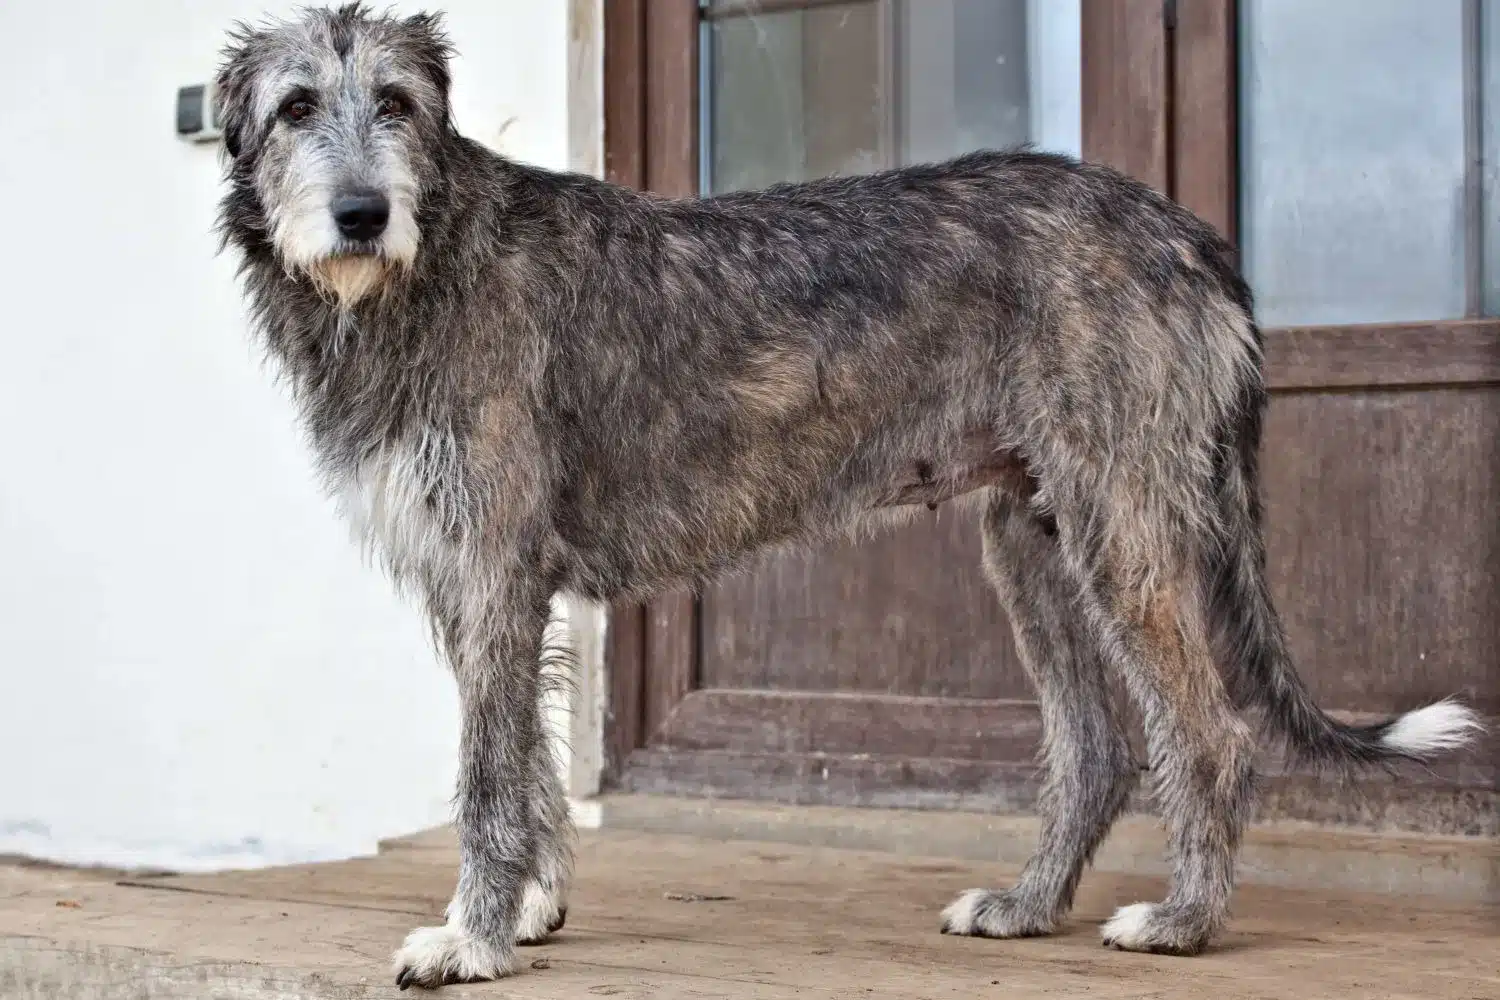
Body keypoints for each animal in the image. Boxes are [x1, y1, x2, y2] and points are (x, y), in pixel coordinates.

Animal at [217, 5, 1482, 995]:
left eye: (395, 102)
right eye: (294, 107)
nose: (361, 214)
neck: (428, 265)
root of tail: (1188, 230)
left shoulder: (493, 569)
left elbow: (486, 774)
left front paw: (468, 940)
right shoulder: (484, 580)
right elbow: (525, 759)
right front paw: (527, 912)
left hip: (1122, 518)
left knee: (1211, 731)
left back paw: (1183, 922)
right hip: (1032, 539)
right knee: (1095, 746)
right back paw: (1027, 905)